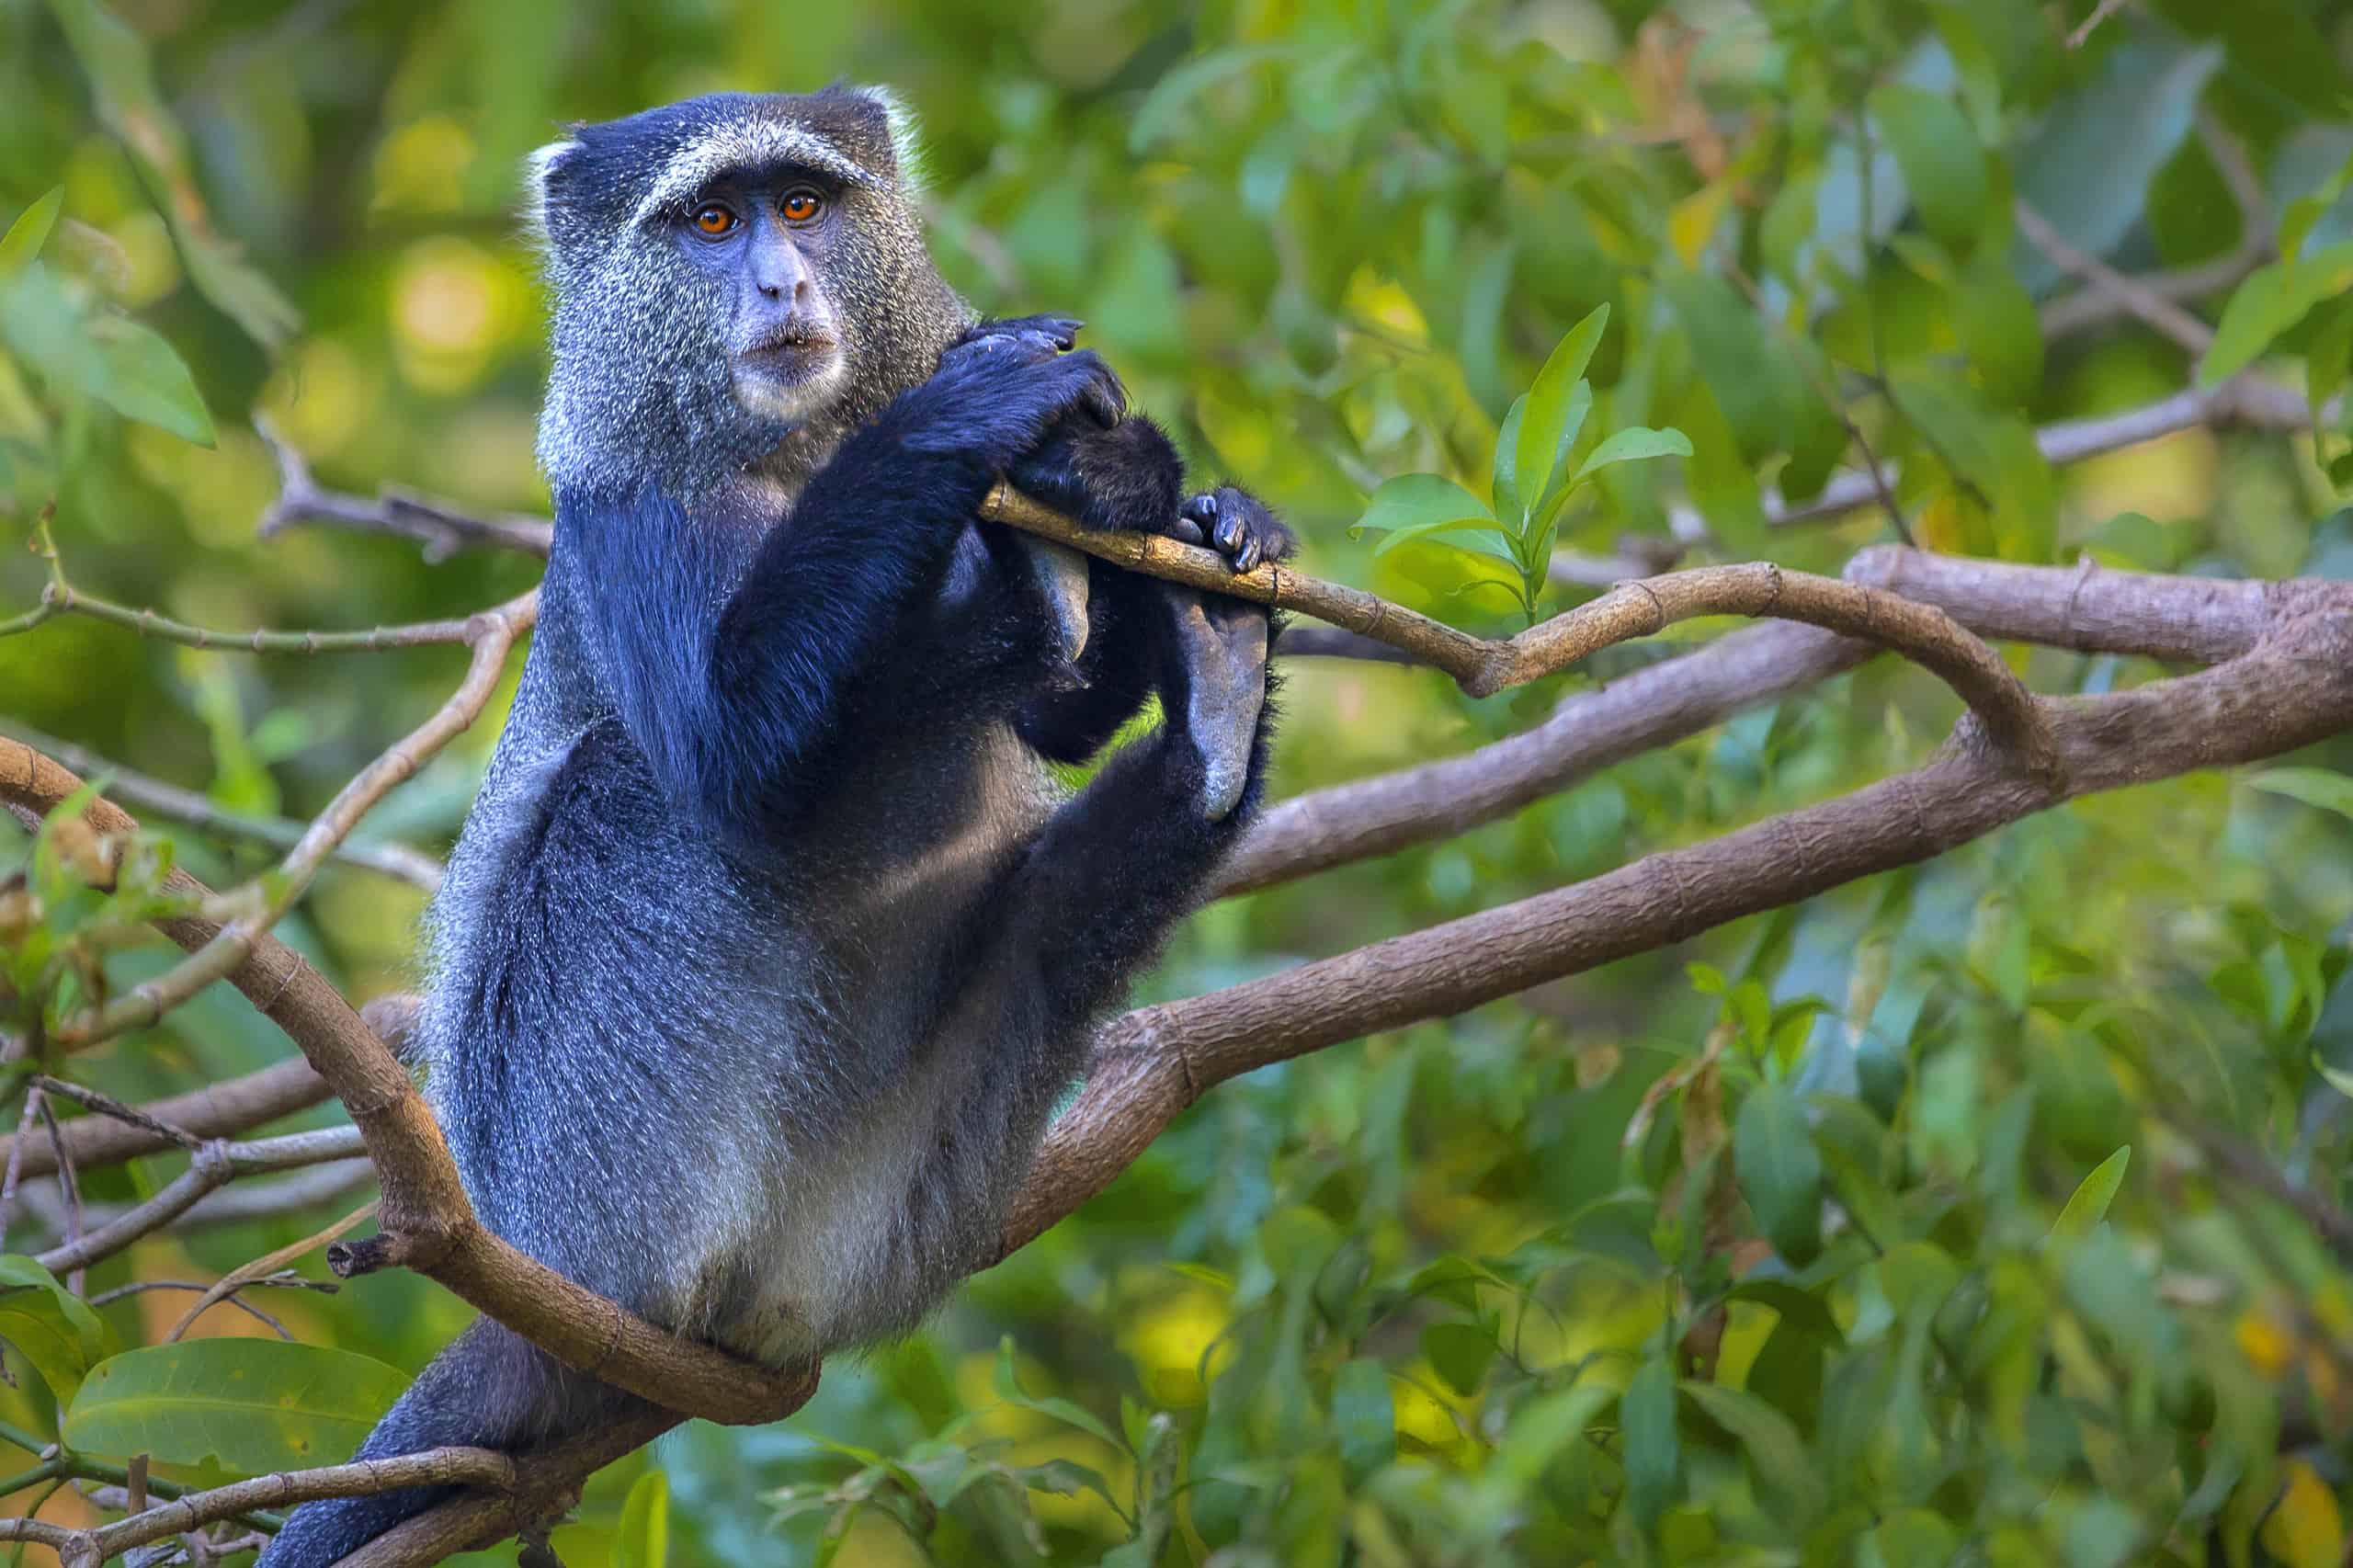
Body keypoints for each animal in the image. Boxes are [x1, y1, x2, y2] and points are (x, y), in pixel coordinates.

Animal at [257, 87, 1291, 1566]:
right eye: (708, 221)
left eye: (801, 206)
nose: (779, 283)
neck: (796, 451)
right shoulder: (627, 508)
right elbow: (734, 753)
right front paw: (975, 414)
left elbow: (1060, 722)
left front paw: (1132, 484)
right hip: (591, 1181)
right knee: (629, 791)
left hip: (889, 1193)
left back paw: (1211, 691)